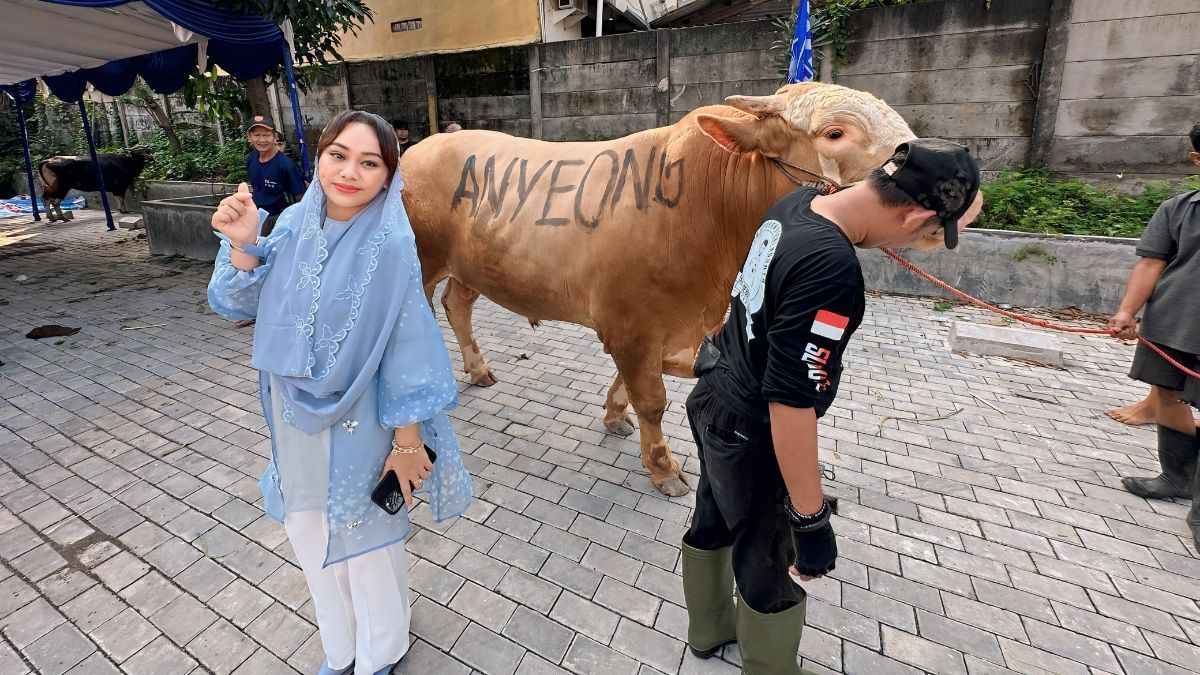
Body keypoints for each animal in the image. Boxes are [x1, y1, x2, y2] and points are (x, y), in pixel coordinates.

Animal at [398, 82, 912, 494]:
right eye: (835, 133)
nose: (920, 167)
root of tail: (420, 149)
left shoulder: (653, 328)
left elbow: (631, 384)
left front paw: (614, 415)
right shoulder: (632, 325)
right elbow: (652, 399)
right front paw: (664, 468)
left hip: (470, 268)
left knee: (457, 305)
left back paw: (478, 369)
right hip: (422, 261)